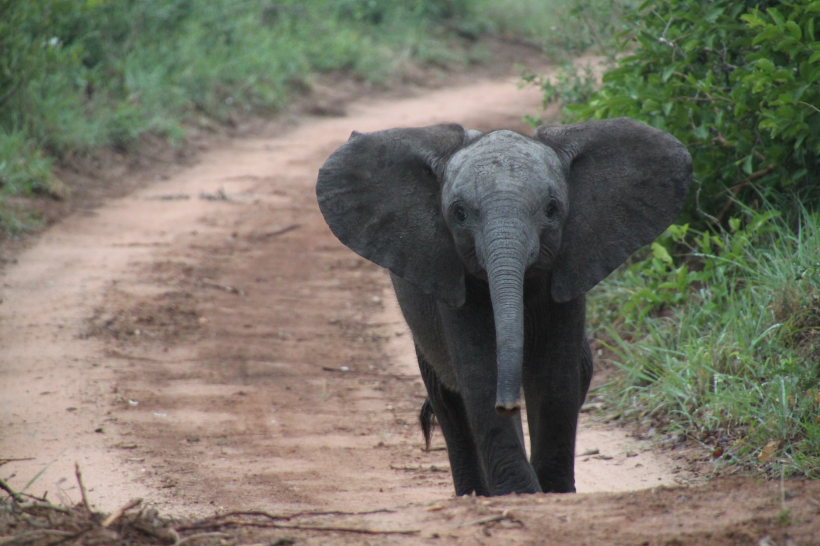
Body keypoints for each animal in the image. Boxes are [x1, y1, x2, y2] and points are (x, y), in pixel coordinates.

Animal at [316, 118, 692, 496]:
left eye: (552, 209)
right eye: (459, 214)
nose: (508, 406)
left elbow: (556, 375)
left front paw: (554, 492)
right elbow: (480, 371)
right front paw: (520, 493)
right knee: (446, 399)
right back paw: (473, 493)